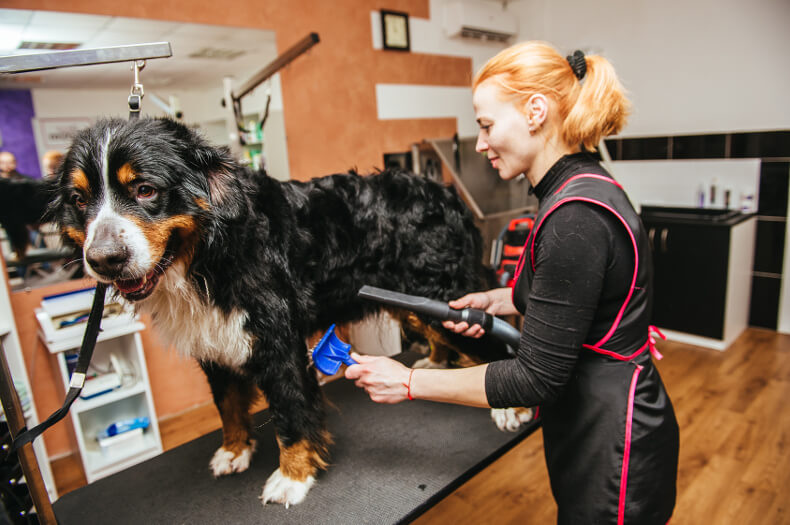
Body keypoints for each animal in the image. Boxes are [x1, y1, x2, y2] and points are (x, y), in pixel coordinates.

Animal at [52, 116, 516, 506]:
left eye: (145, 190)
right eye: (79, 199)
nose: (102, 259)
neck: (210, 257)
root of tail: (446, 193)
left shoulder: (278, 341)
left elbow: (290, 413)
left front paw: (292, 477)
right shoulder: (212, 340)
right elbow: (228, 405)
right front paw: (234, 450)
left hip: (441, 294)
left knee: (490, 338)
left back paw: (509, 405)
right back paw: (437, 362)